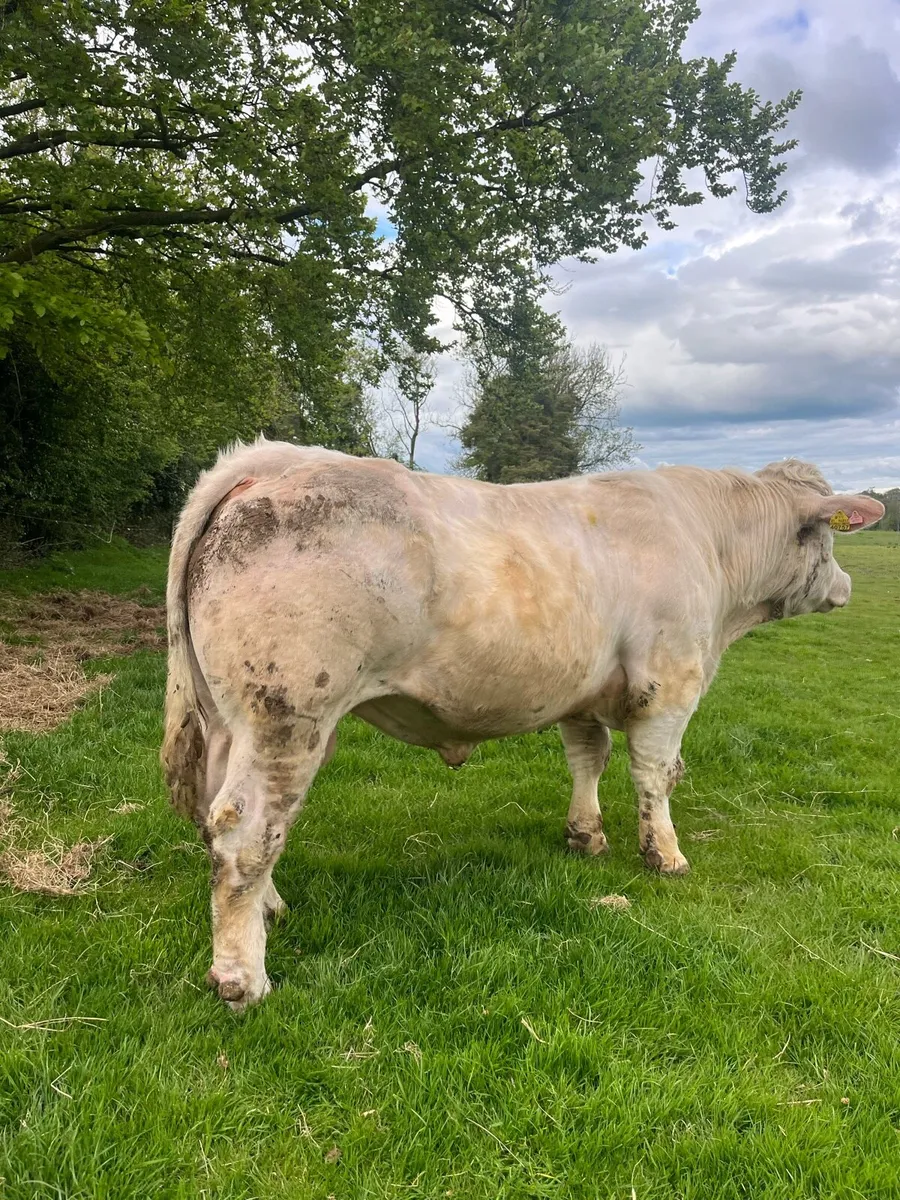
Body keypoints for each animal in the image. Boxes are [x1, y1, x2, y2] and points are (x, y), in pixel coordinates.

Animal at [161, 439, 884, 1009]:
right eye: (829, 537)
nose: (848, 587)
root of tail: (276, 458)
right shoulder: (668, 683)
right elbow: (656, 773)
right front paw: (666, 855)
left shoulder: (584, 693)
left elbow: (588, 758)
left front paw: (586, 835)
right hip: (287, 714)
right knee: (246, 829)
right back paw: (242, 977)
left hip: (230, 722)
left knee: (217, 815)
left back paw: (270, 909)